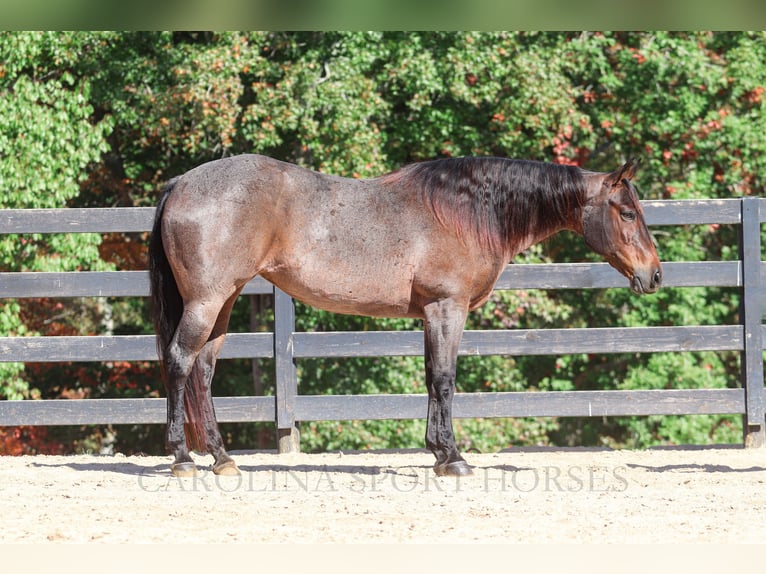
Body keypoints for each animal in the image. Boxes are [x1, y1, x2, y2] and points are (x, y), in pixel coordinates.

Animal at [152, 155, 664, 480]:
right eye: (626, 212)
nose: (655, 275)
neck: (467, 212)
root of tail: (181, 183)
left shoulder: (430, 315)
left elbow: (430, 378)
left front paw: (437, 451)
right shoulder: (447, 308)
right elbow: (445, 379)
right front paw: (453, 458)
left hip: (224, 301)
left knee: (202, 371)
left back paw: (221, 458)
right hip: (207, 301)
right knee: (179, 362)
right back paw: (182, 458)